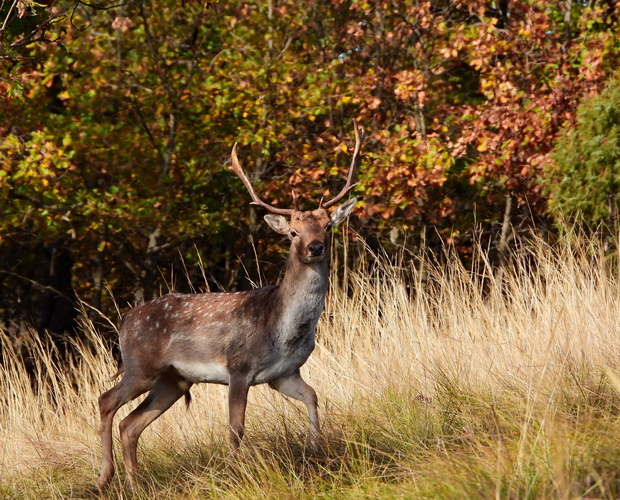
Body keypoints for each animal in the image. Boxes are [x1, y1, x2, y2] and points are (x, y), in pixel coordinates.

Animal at [95, 124, 364, 488]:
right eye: (293, 232)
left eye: (328, 227)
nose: (315, 247)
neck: (281, 327)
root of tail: (124, 320)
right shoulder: (239, 368)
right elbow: (236, 428)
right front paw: (235, 473)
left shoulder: (285, 372)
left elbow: (312, 396)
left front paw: (316, 449)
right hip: (142, 366)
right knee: (106, 401)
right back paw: (104, 476)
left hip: (173, 380)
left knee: (130, 424)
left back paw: (135, 482)